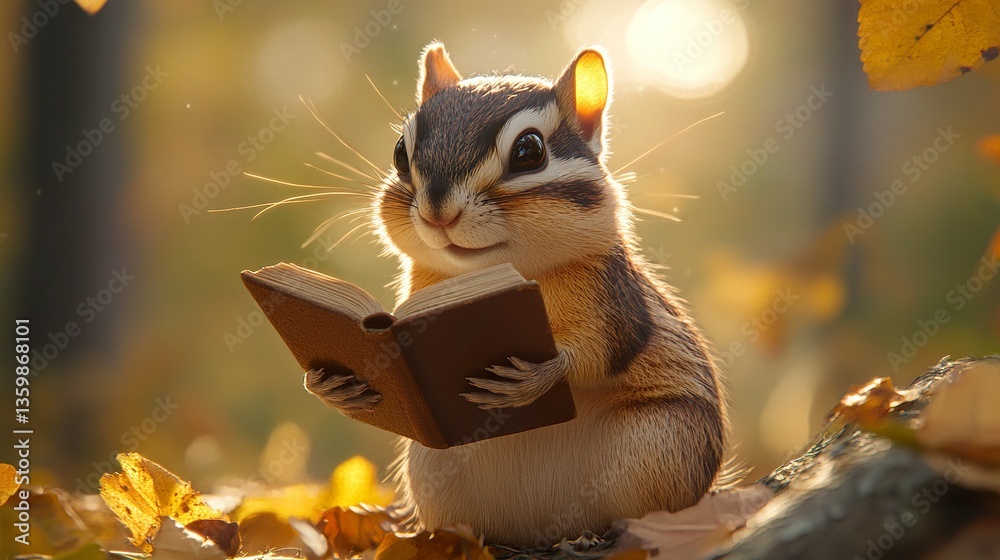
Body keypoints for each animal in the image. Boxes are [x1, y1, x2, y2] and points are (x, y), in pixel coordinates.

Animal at [304, 42, 728, 547]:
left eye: (529, 151)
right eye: (400, 153)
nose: (437, 212)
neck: (500, 271)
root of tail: (544, 530)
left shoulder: (612, 300)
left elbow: (598, 352)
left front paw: (536, 379)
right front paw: (329, 385)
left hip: (664, 442)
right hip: (431, 464)